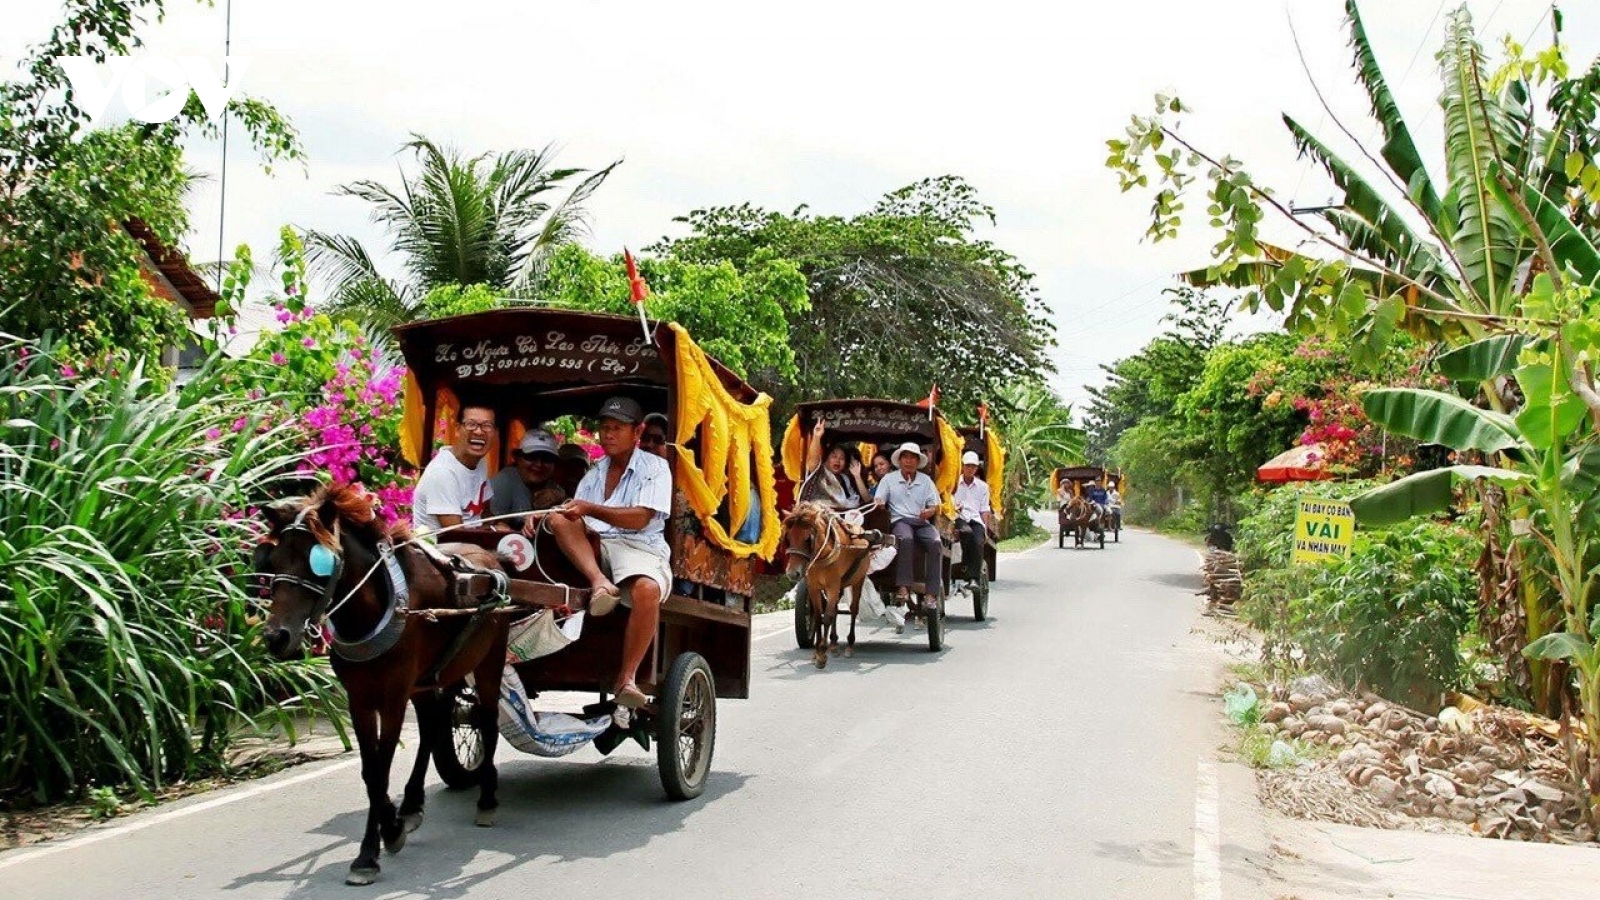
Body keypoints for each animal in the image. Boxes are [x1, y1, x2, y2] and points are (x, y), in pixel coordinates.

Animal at [256, 483, 508, 883]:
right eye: (274, 560)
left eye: (319, 562)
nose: (277, 637)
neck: (372, 609)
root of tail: (489, 556)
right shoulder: (359, 698)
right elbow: (370, 770)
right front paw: (388, 829)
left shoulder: (393, 696)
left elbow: (383, 764)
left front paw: (373, 848)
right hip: (435, 675)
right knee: (435, 724)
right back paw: (413, 804)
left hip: (488, 661)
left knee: (487, 719)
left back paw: (486, 798)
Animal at [777, 496, 870, 666]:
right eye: (788, 538)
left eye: (808, 539)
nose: (793, 573)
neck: (823, 554)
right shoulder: (814, 586)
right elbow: (818, 615)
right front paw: (817, 652)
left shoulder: (833, 586)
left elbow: (826, 618)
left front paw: (821, 654)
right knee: (834, 609)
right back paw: (833, 644)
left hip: (858, 580)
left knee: (853, 609)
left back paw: (849, 645)